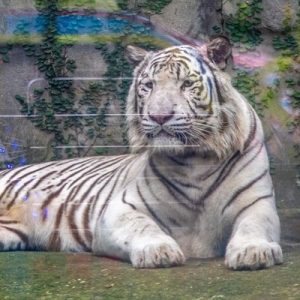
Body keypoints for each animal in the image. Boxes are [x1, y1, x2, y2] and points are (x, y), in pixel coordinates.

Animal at [0, 41, 282, 270]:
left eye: (186, 84)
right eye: (149, 86)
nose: (159, 116)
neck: (195, 159)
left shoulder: (257, 203)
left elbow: (254, 224)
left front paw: (253, 251)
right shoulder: (120, 209)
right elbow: (141, 226)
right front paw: (158, 251)